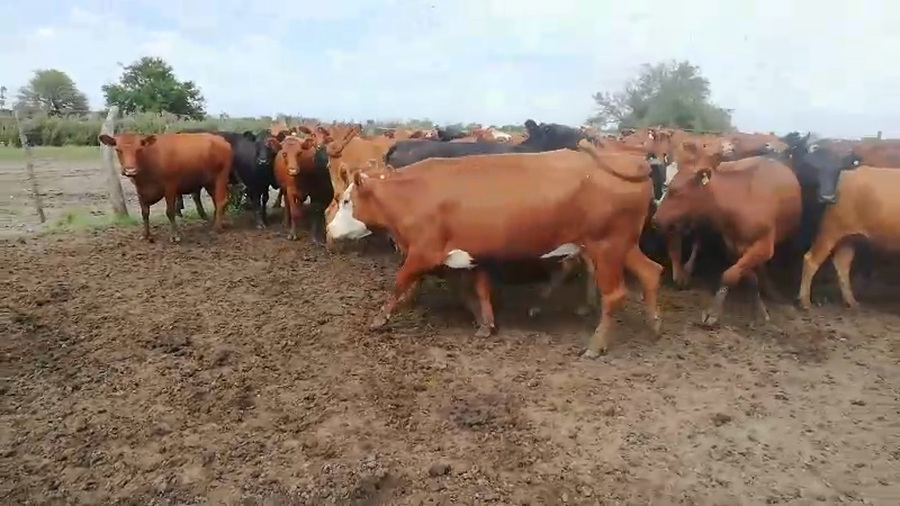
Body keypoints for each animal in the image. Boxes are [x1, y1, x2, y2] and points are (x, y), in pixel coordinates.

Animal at [98, 132, 233, 243]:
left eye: (139, 149)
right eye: (118, 149)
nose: (130, 170)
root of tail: (221, 140)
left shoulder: (170, 187)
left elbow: (170, 212)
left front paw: (174, 236)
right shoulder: (140, 190)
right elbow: (144, 213)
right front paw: (146, 235)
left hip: (220, 177)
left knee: (221, 201)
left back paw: (216, 228)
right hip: (209, 182)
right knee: (216, 201)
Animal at [326, 141, 663, 357]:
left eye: (347, 200)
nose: (330, 230)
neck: (414, 194)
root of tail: (628, 161)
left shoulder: (423, 253)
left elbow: (399, 283)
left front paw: (379, 319)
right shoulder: (472, 254)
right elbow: (478, 289)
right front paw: (484, 322)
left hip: (606, 247)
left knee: (614, 295)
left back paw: (595, 344)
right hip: (622, 245)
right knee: (651, 272)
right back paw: (654, 325)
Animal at [652, 141, 802, 326]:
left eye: (676, 191)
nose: (655, 219)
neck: (740, 199)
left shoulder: (765, 245)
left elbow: (729, 275)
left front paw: (713, 312)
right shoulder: (733, 245)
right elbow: (748, 277)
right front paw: (759, 308)